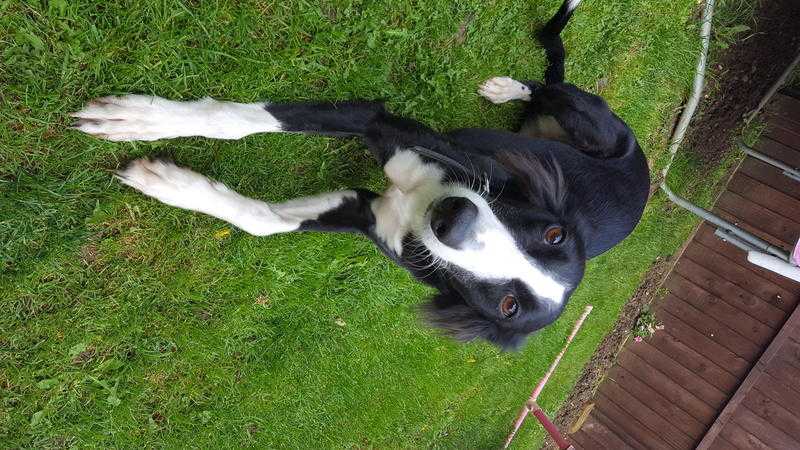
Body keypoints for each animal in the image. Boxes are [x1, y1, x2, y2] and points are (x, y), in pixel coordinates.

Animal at [73, 0, 648, 350]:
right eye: (552, 233)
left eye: (509, 306)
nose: (454, 218)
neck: (422, 199)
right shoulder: (376, 121)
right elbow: (243, 121)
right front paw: (143, 122)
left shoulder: (366, 212)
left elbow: (264, 221)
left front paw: (167, 178)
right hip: (583, 115)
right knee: (547, 80)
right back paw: (508, 87)